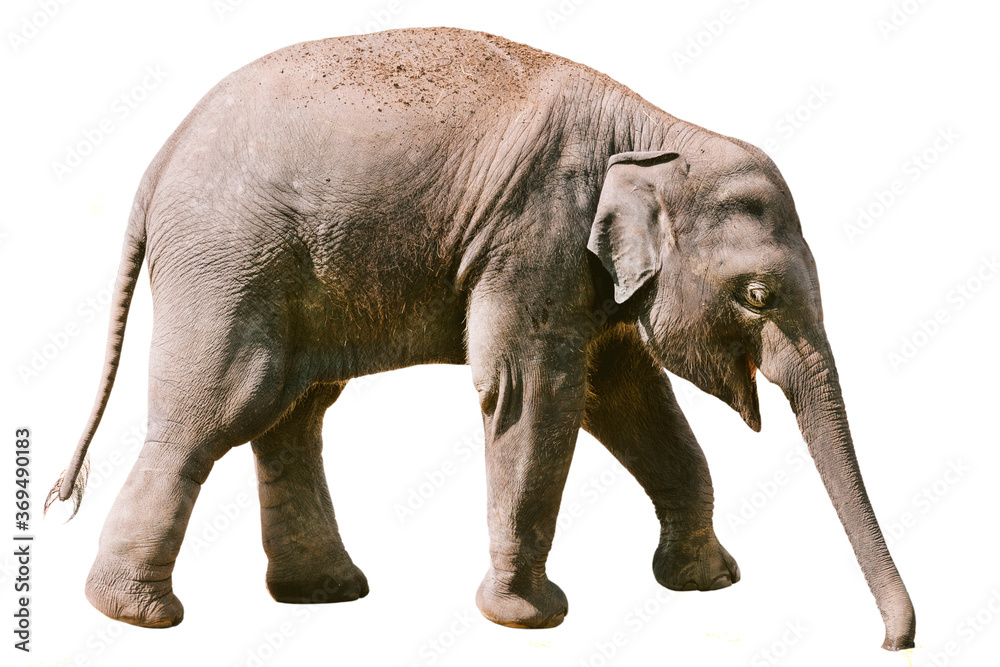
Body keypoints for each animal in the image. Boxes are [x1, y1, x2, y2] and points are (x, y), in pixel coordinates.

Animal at [46, 27, 915, 649]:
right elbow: (535, 390)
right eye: (757, 295)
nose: (892, 641)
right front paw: (531, 618)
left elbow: (626, 394)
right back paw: (138, 616)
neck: (657, 130)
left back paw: (325, 593)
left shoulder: (585, 268)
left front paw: (708, 582)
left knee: (294, 413)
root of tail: (156, 165)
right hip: (228, 262)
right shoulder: (536, 233)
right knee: (223, 406)